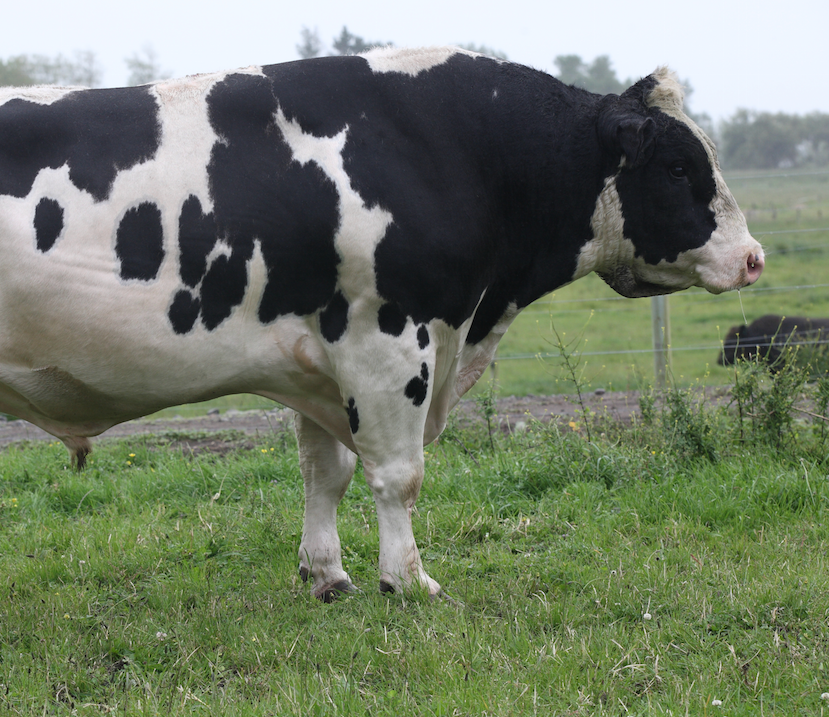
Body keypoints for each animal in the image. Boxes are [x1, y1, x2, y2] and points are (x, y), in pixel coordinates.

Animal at [0, 47, 763, 600]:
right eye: (678, 165)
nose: (752, 257)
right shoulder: (388, 341)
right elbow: (399, 475)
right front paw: (408, 579)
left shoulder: (312, 356)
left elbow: (326, 471)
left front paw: (326, 574)